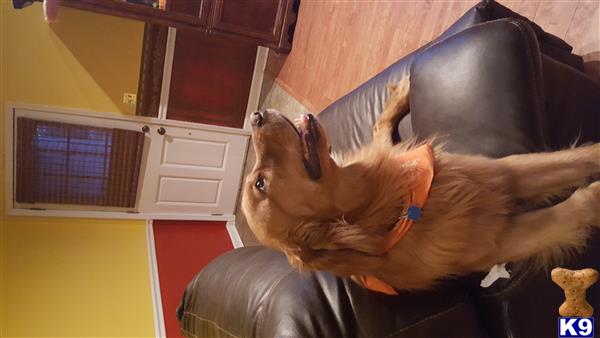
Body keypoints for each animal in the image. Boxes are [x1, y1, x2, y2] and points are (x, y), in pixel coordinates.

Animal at [240, 78, 600, 290]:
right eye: (261, 183)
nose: (255, 115)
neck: (386, 205)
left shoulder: (503, 173)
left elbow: (579, 158)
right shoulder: (502, 240)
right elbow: (576, 205)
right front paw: (593, 195)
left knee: (380, 130)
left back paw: (401, 94)